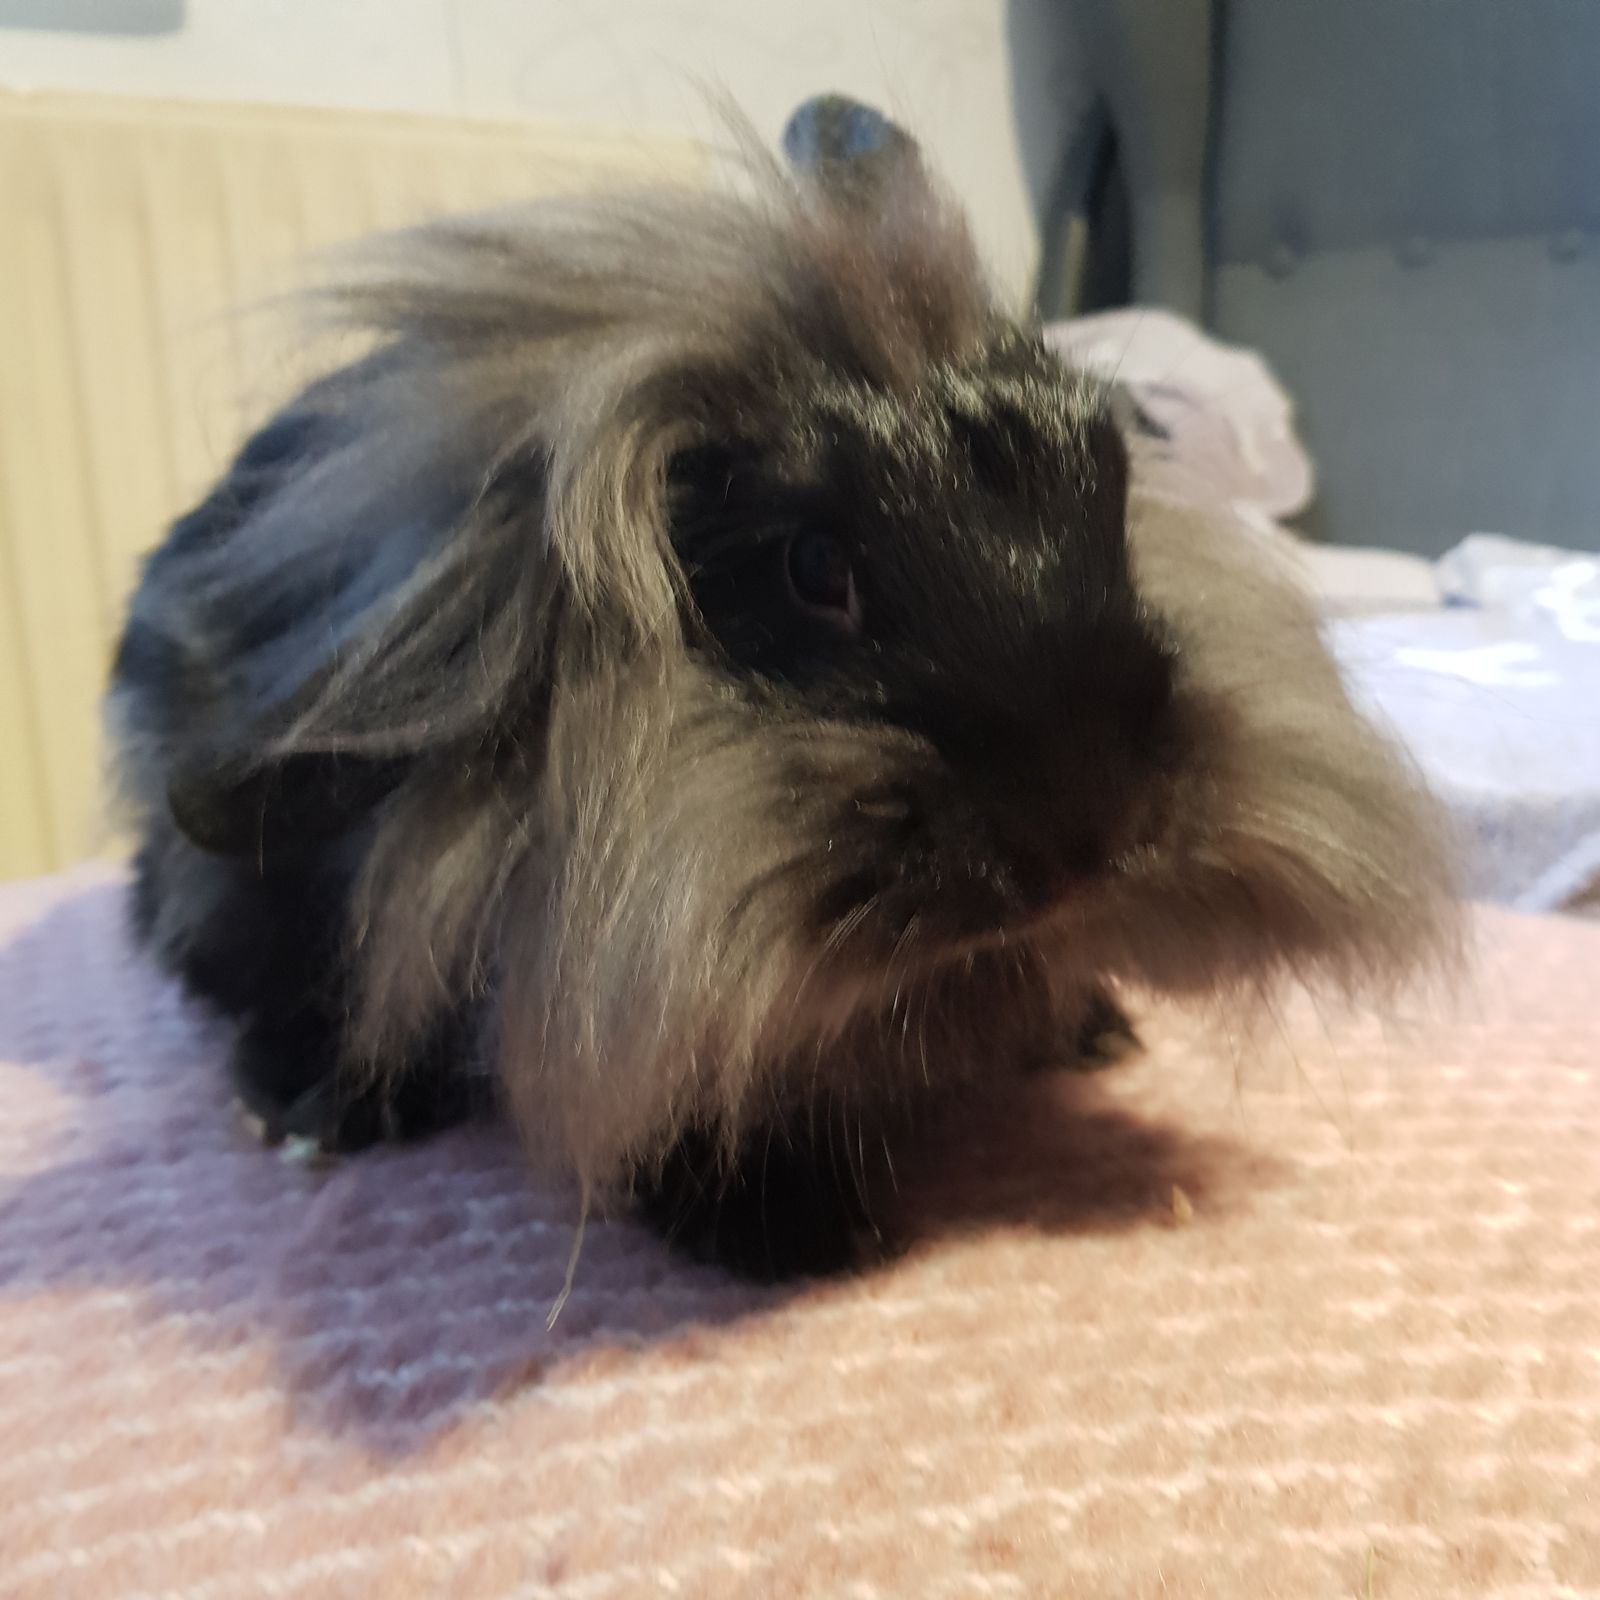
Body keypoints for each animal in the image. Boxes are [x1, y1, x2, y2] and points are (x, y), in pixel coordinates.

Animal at [105, 112, 1457, 1281]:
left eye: (1109, 481)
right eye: (814, 569)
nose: (1090, 829)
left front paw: (1089, 1032)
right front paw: (805, 1234)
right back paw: (312, 1108)